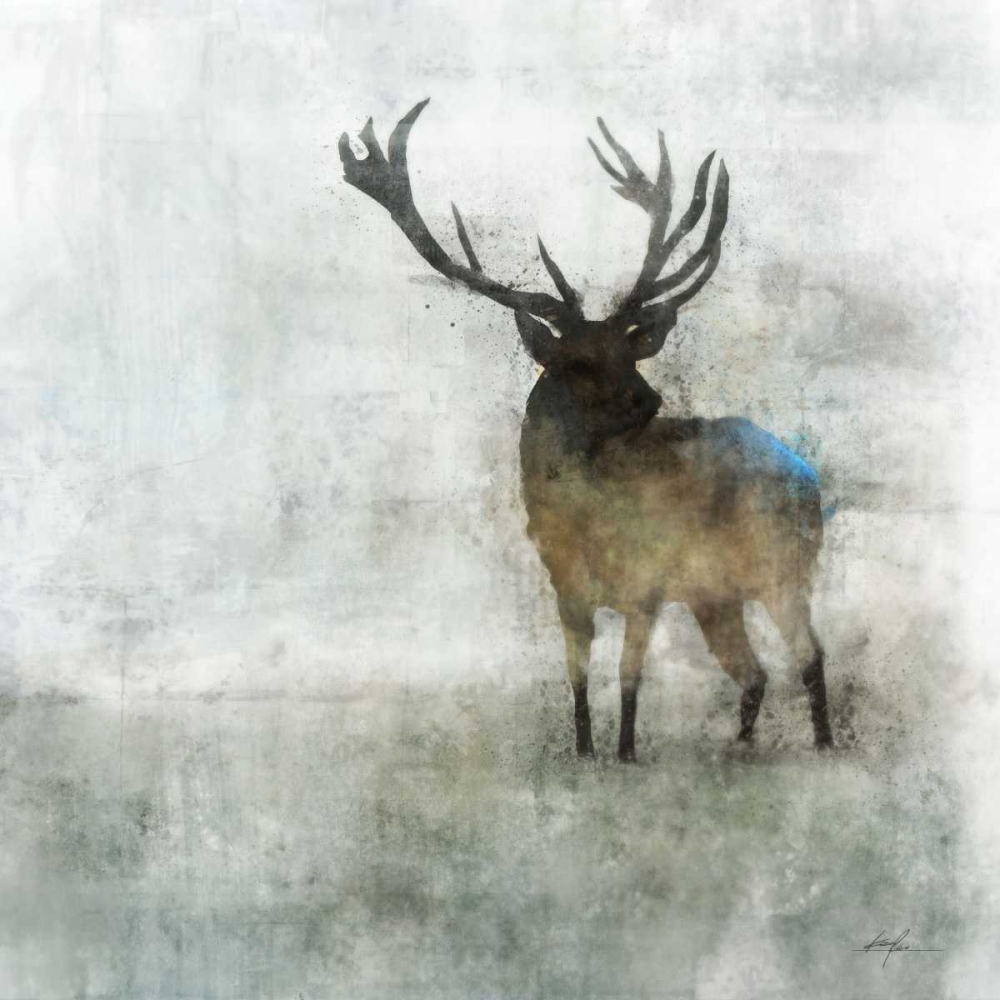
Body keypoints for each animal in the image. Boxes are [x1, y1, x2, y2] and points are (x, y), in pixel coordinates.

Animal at [339, 99, 833, 761]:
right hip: (715, 594)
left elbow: (628, 677)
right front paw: (583, 751)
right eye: (576, 361)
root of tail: (804, 471)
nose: (648, 398)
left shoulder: (647, 586)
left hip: (783, 567)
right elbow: (575, 676)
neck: (585, 525)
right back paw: (739, 747)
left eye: (630, 351)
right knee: (754, 672)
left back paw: (825, 744)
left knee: (809, 656)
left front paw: (624, 754)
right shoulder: (564, 590)